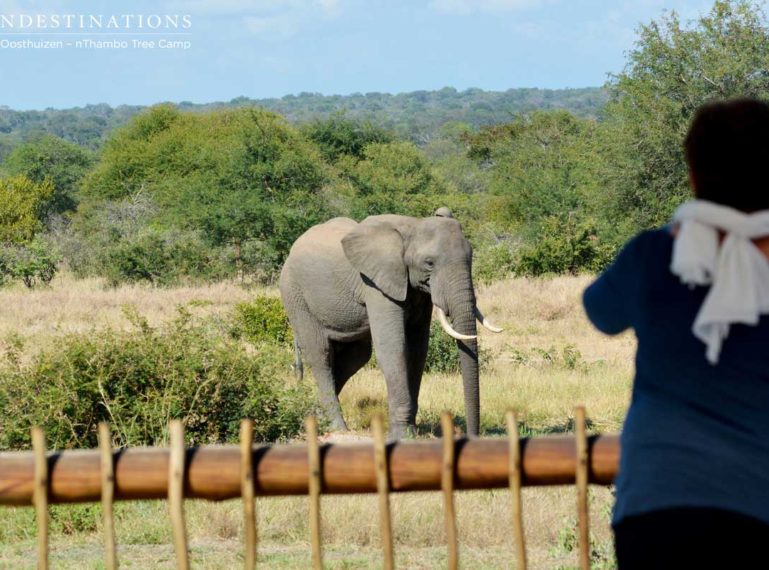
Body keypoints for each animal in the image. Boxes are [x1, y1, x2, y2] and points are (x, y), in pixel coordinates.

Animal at [280, 206, 500, 438]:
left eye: (471, 257)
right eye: (429, 263)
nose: (472, 435)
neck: (413, 225)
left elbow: (417, 350)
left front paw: (412, 432)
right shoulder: (375, 284)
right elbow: (393, 348)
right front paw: (402, 436)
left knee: (356, 356)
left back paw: (315, 417)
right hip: (294, 295)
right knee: (320, 354)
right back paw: (337, 428)